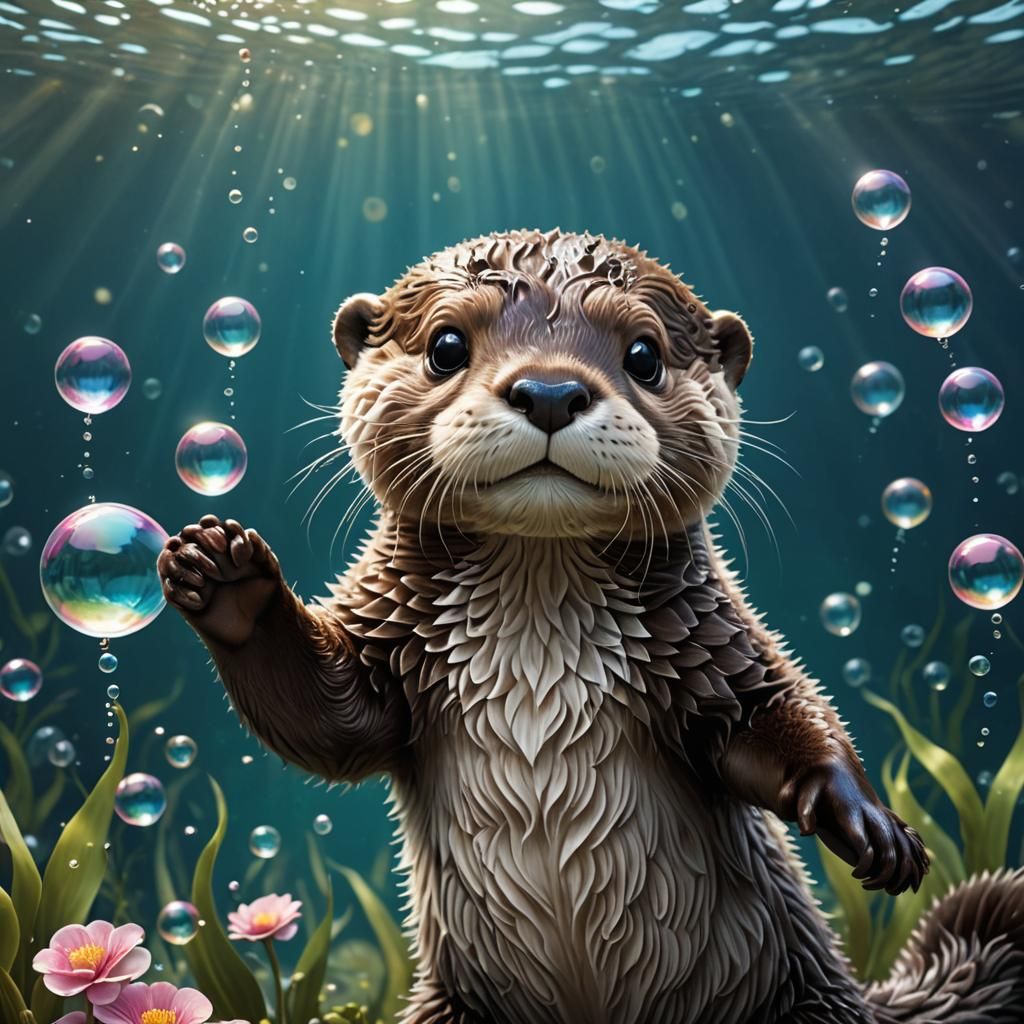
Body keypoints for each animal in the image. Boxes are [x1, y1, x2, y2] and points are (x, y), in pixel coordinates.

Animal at [158, 229, 1024, 1024]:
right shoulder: (392, 637)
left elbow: (773, 712)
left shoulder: (711, 644)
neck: (539, 640)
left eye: (643, 355)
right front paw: (229, 579)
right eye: (445, 345)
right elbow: (329, 719)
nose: (548, 390)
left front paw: (863, 818)